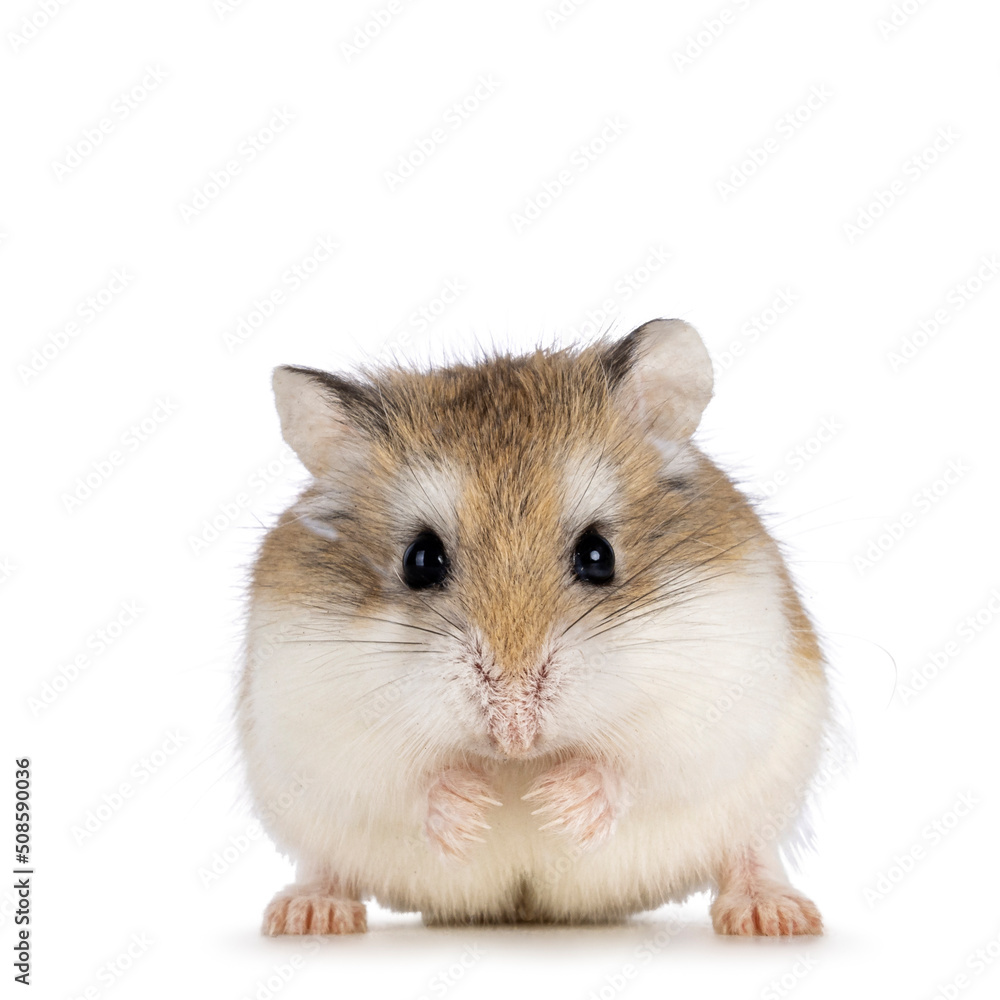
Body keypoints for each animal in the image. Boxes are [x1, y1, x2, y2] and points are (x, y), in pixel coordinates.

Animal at [238, 318, 830, 937]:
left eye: (599, 555)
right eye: (419, 561)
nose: (515, 734)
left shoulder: (711, 700)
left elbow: (633, 766)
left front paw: (555, 804)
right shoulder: (317, 725)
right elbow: (406, 780)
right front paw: (474, 808)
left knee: (748, 849)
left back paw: (773, 915)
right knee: (326, 863)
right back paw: (309, 914)